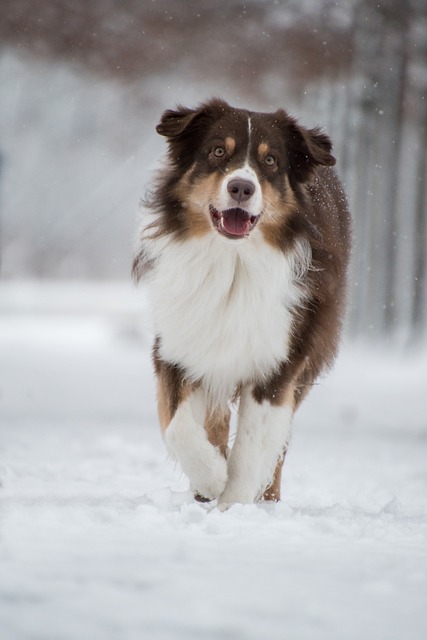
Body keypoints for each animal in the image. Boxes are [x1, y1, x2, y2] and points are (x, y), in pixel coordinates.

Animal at [134, 99, 352, 510]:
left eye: (270, 161)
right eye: (219, 151)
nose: (241, 186)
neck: (232, 261)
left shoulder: (279, 358)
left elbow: (253, 446)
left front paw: (233, 504)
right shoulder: (178, 344)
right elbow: (178, 426)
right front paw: (211, 477)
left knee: (279, 443)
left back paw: (267, 499)